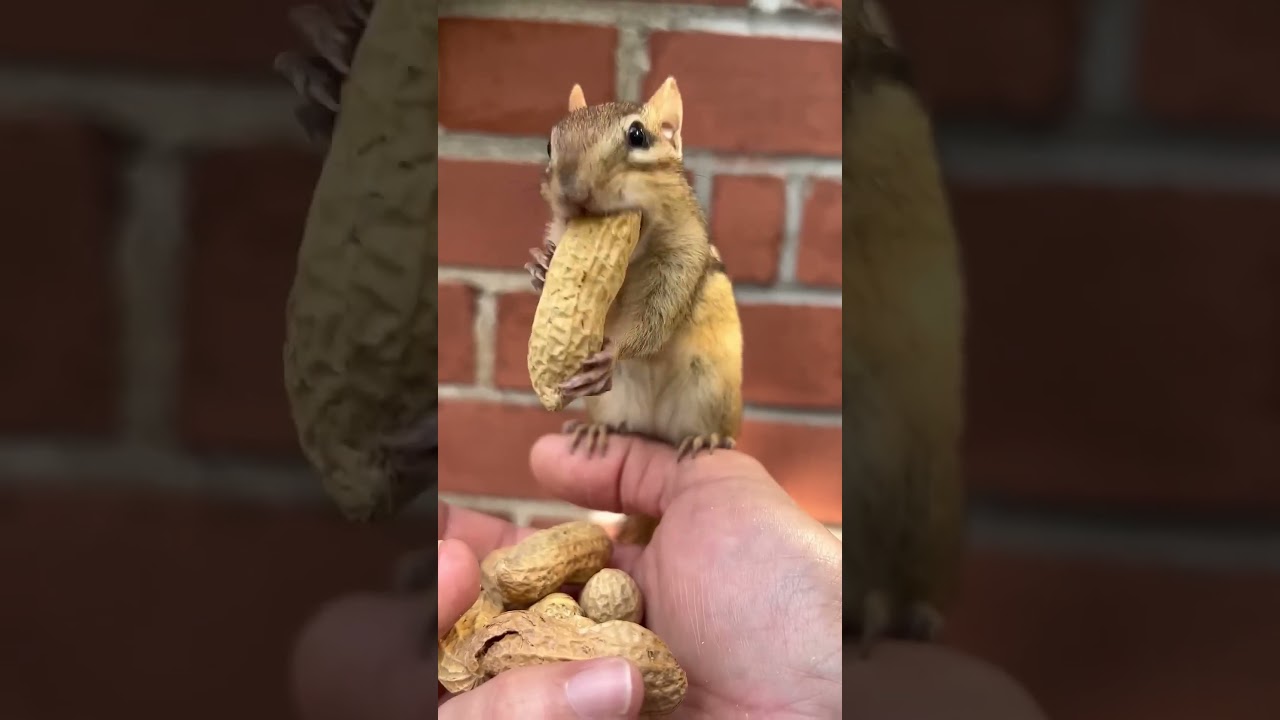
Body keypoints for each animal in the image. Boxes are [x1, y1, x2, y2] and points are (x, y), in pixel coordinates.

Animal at [524, 78, 745, 546]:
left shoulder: (682, 264)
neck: (634, 256)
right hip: (615, 406)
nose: (571, 191)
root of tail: (656, 431)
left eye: (638, 136)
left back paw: (706, 440)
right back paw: (596, 430)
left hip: (710, 393)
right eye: (550, 144)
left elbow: (656, 318)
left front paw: (611, 355)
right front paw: (541, 265)